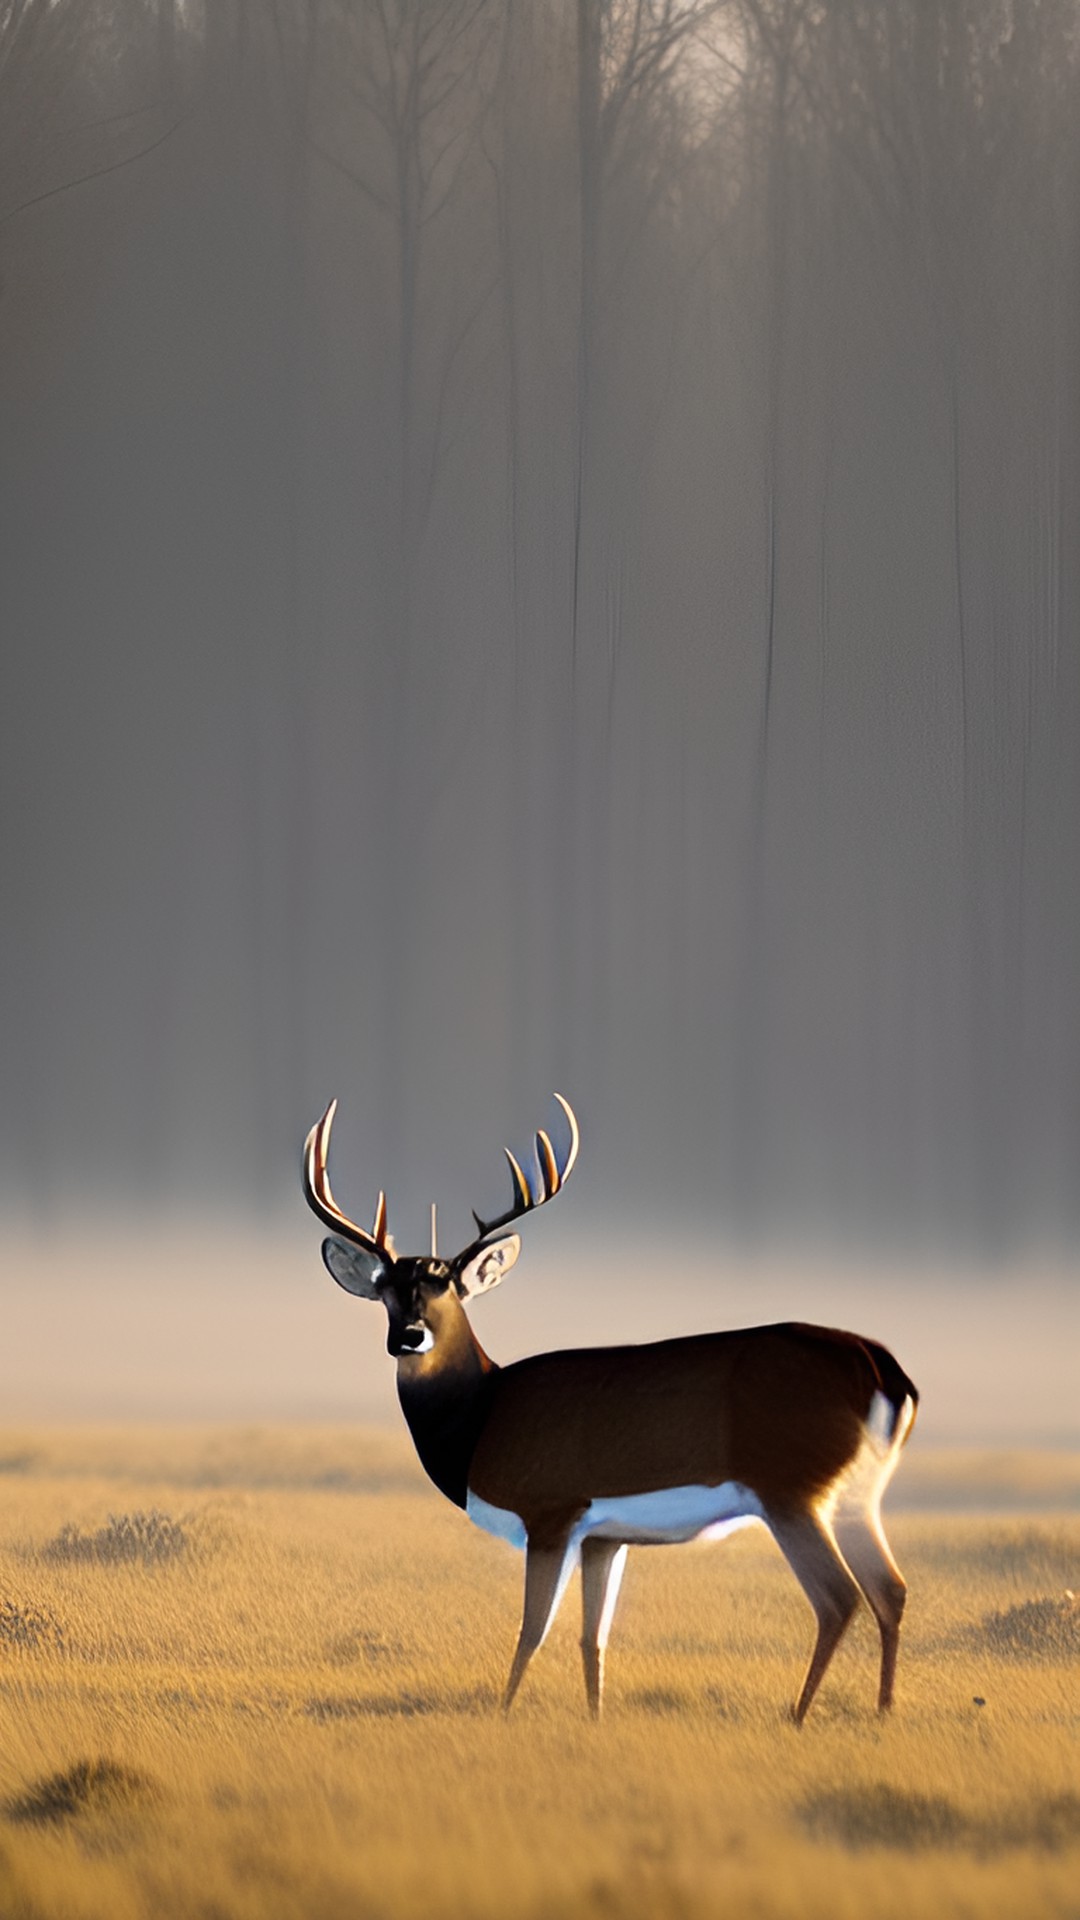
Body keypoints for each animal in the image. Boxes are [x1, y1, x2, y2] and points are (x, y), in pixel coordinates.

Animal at [297, 1098, 910, 1728]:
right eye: (386, 1289)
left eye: (445, 1286)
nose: (410, 1336)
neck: (481, 1417)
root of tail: (882, 1369)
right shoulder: (605, 1536)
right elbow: (594, 1637)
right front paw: (594, 1718)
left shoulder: (551, 1510)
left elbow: (533, 1630)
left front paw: (503, 1714)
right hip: (855, 1493)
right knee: (891, 1589)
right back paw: (884, 1711)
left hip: (790, 1489)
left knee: (839, 1598)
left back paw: (798, 1714)